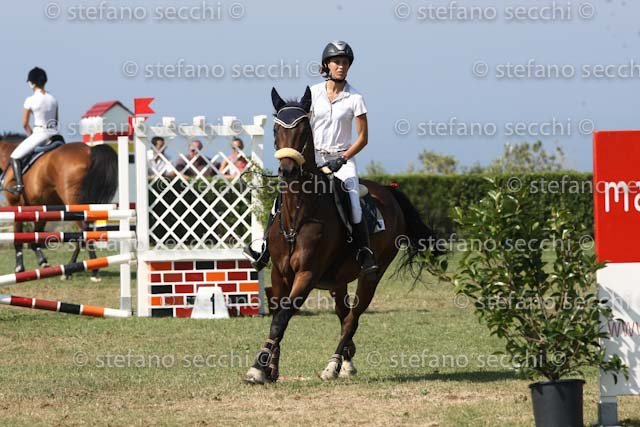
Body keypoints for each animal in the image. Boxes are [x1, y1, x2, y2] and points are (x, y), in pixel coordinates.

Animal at [0, 133, 118, 280]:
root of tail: (90, 151)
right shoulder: (42, 207)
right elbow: (35, 238)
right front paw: (43, 263)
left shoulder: (16, 205)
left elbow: (18, 239)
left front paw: (19, 268)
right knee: (84, 231)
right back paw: (75, 268)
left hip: (73, 202)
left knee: (83, 230)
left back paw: (86, 270)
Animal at [244, 87, 443, 384]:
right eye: (276, 129)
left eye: (303, 129)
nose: (287, 171)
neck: (299, 213)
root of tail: (389, 190)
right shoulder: (279, 273)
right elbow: (279, 314)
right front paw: (271, 368)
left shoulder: (307, 274)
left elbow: (282, 318)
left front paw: (258, 367)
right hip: (338, 280)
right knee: (343, 312)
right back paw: (347, 359)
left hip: (371, 275)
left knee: (352, 318)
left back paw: (333, 365)